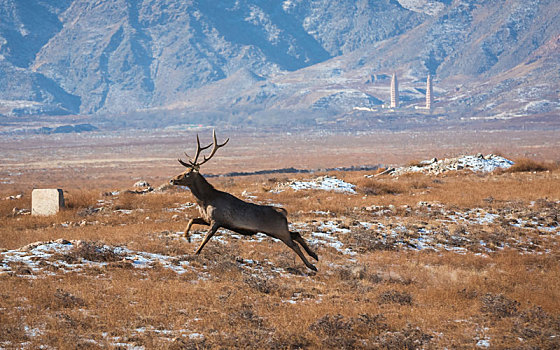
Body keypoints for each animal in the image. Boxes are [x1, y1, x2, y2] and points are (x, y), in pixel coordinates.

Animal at [170, 131, 320, 270]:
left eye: (187, 173)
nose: (172, 180)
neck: (204, 200)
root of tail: (283, 212)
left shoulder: (217, 220)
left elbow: (206, 238)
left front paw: (195, 252)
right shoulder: (208, 219)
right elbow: (191, 220)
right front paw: (187, 237)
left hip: (279, 230)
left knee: (294, 243)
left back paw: (312, 266)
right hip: (278, 231)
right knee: (296, 234)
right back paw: (314, 256)